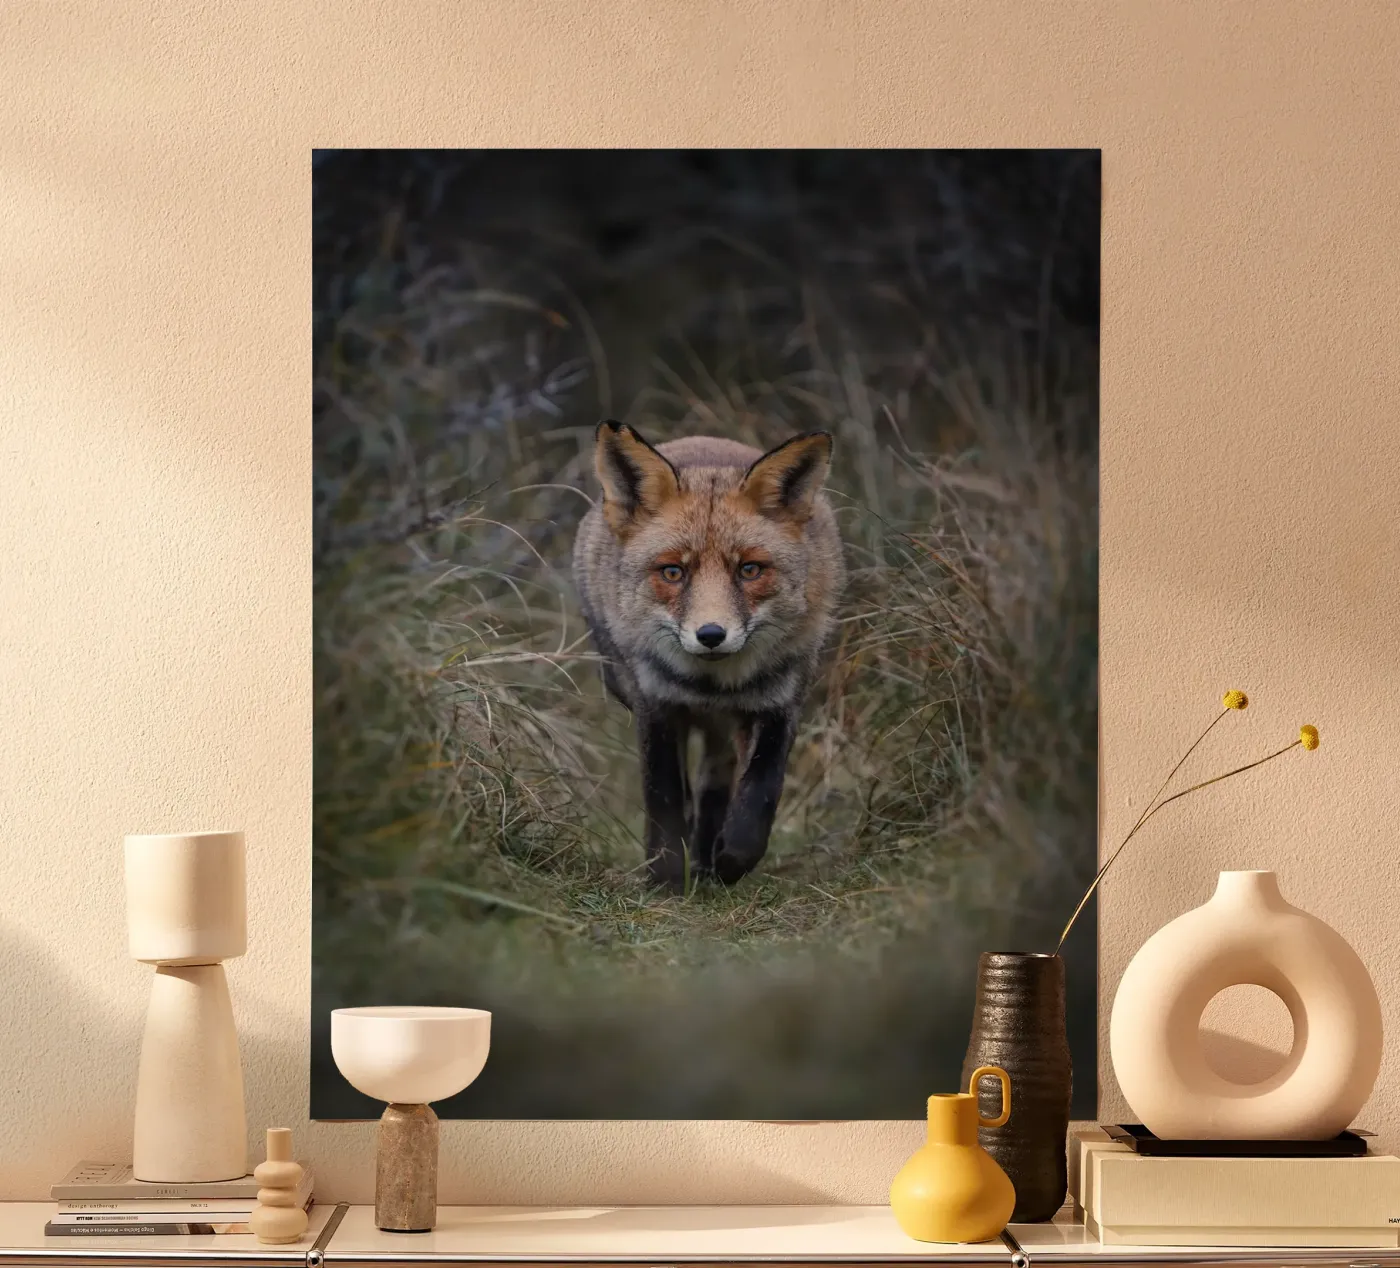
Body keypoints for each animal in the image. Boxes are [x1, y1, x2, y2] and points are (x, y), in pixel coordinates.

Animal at [573, 420, 845, 891]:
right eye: (673, 572)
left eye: (750, 570)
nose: (712, 635)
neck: (712, 686)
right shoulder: (657, 705)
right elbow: (664, 798)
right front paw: (665, 879)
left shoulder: (779, 704)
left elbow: (760, 794)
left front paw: (731, 859)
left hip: (728, 729)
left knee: (715, 784)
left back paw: (707, 859)